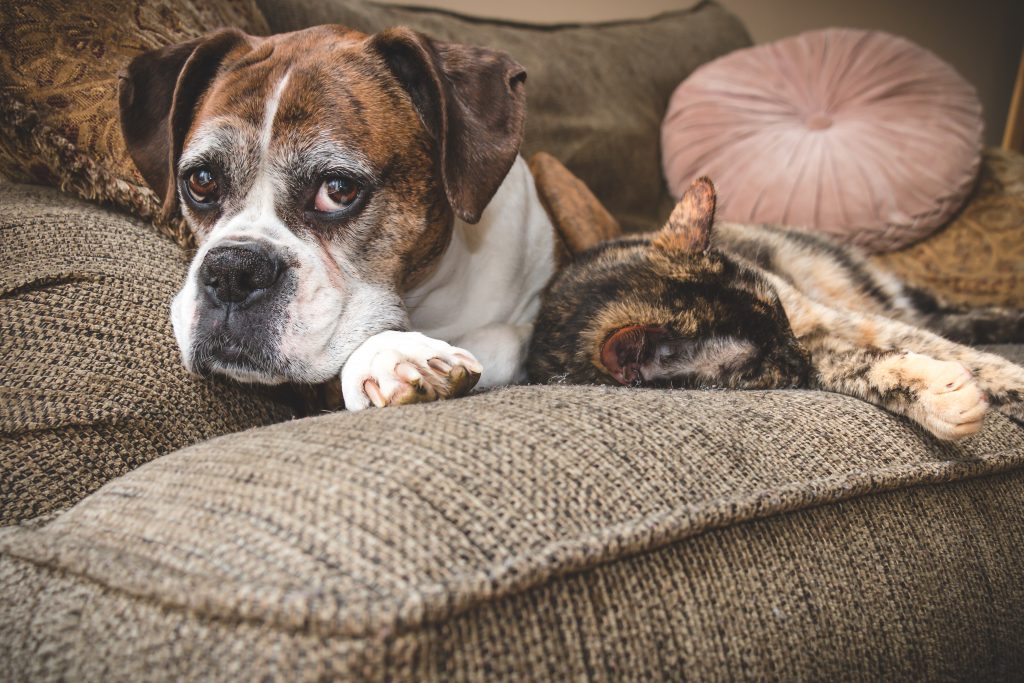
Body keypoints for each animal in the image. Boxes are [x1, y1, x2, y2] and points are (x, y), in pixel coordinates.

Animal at [528, 176, 1024, 440]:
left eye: (779, 311)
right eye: (759, 364)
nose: (797, 351)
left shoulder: (833, 318)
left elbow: (953, 351)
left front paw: (1008, 382)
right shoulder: (821, 356)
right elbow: (866, 367)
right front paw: (946, 396)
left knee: (940, 319)